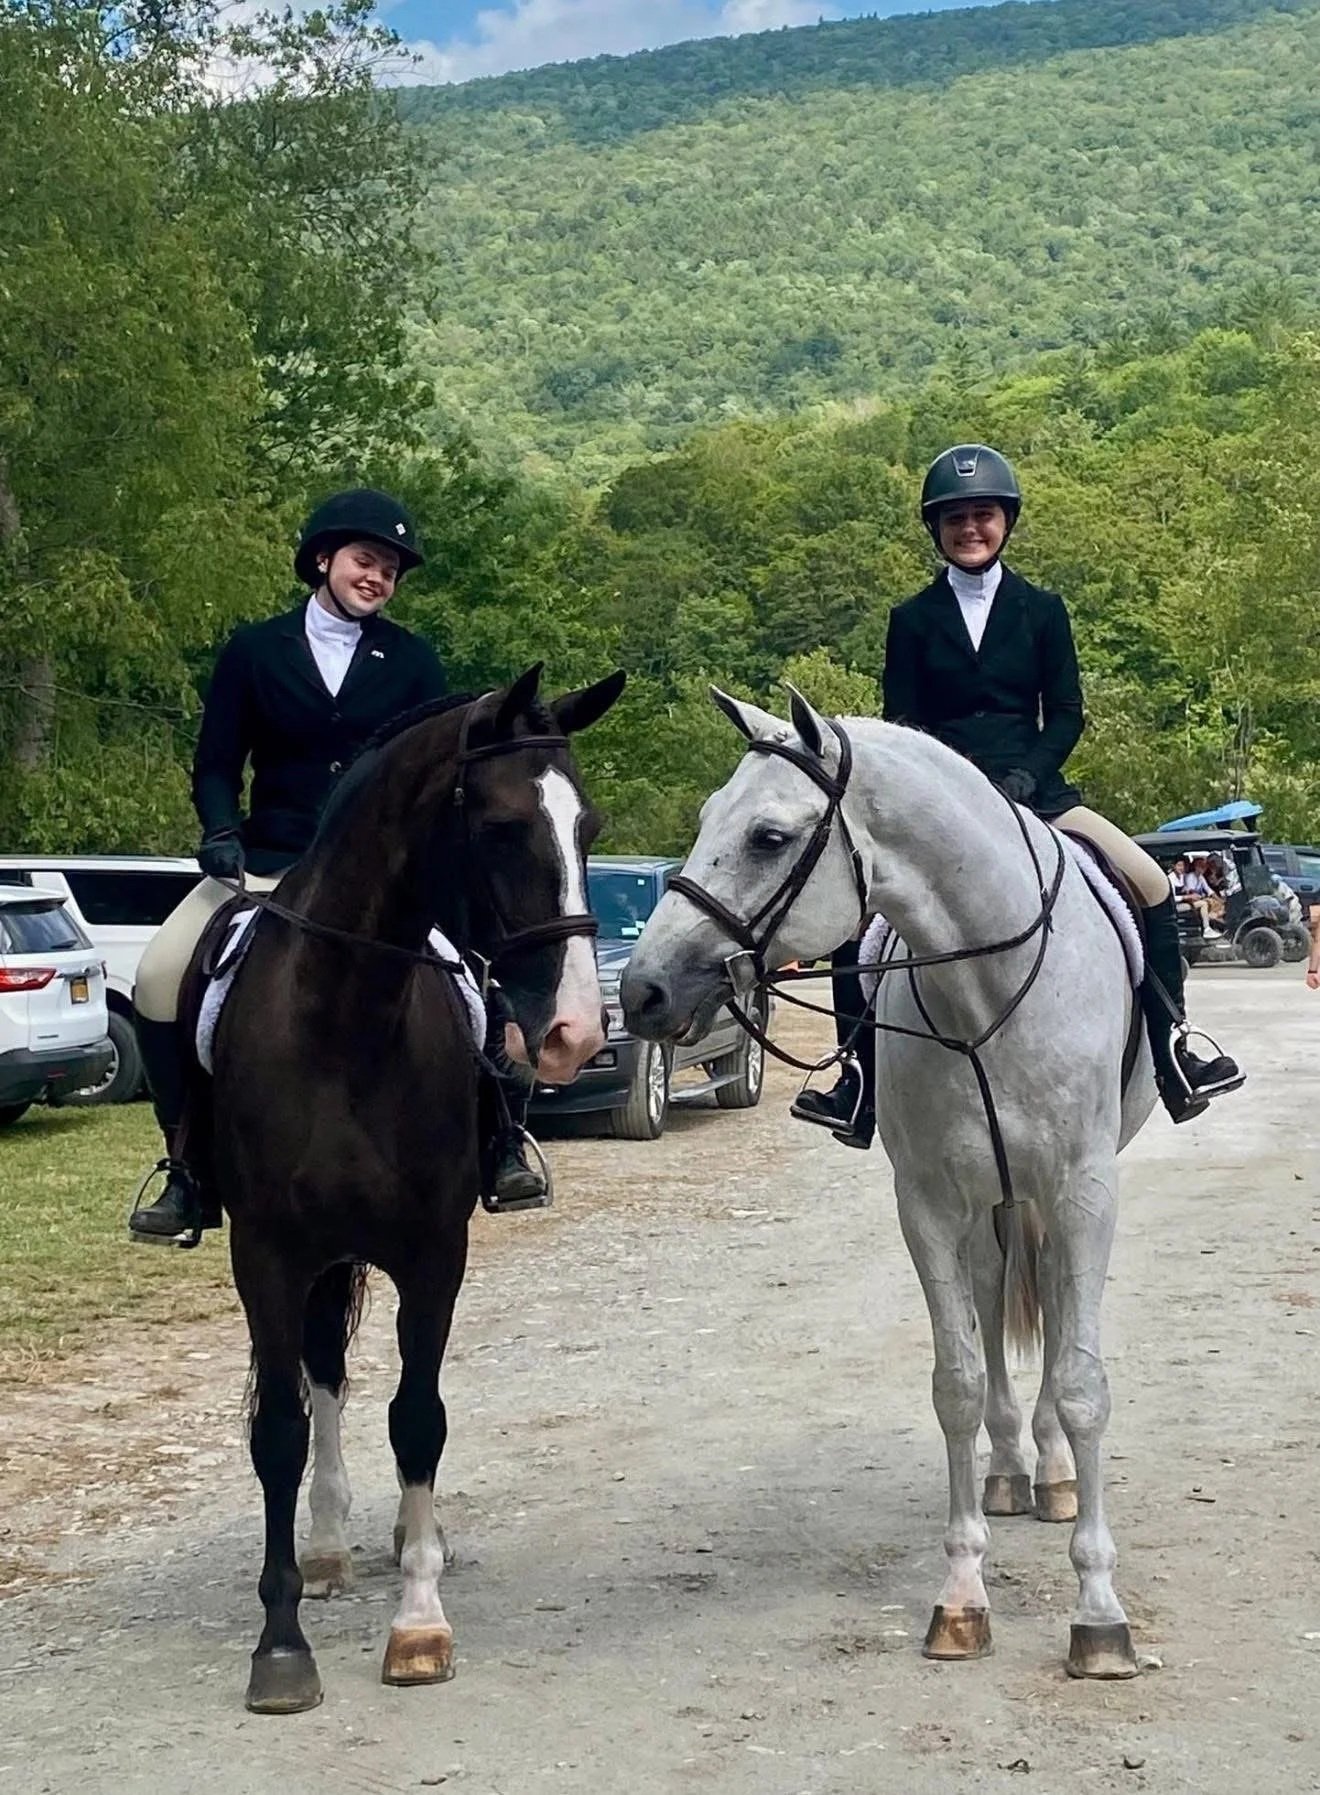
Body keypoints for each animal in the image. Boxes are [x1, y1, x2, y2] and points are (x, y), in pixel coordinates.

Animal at [190, 665, 624, 1714]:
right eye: (502, 826)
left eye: (588, 825)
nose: (575, 1032)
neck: (348, 1015)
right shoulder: (267, 1252)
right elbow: (279, 1428)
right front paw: (281, 1643)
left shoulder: (434, 1249)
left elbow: (418, 1416)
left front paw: (419, 1621)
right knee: (321, 1382)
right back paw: (325, 1546)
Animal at [619, 686, 1157, 1680]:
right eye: (708, 817)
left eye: (768, 836)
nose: (643, 992)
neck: (986, 995)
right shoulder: (931, 1204)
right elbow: (956, 1380)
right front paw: (962, 1595)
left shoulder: (1084, 1194)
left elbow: (1082, 1382)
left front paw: (1100, 1611)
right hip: (991, 1203)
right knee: (993, 1302)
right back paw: (1011, 1470)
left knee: (1051, 1311)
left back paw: (1056, 1474)